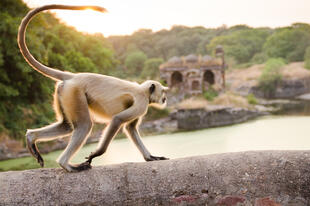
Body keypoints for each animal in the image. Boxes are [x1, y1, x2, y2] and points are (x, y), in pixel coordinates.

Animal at [18, 4, 168, 172]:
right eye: (163, 91)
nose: (165, 98)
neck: (143, 90)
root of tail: (73, 77)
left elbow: (130, 128)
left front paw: (150, 157)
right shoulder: (142, 103)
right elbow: (117, 120)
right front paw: (96, 154)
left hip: (64, 93)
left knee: (66, 126)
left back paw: (31, 138)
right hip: (74, 92)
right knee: (84, 125)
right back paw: (66, 164)